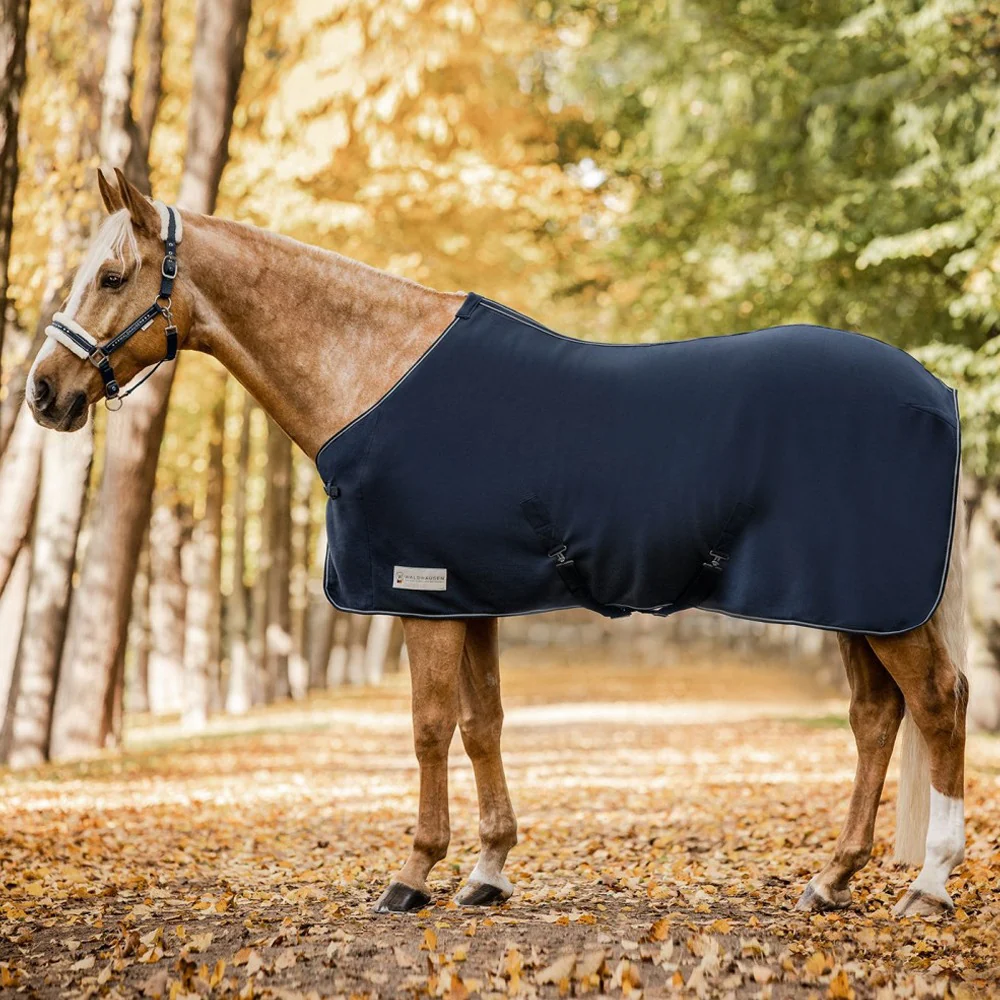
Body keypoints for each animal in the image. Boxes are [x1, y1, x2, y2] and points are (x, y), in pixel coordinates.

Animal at [26, 168, 968, 918]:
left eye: (112, 275)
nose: (43, 393)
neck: (376, 371)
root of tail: (936, 392)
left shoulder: (421, 592)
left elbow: (429, 728)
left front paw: (413, 874)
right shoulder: (469, 595)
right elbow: (484, 725)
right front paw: (488, 871)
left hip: (877, 604)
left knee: (938, 701)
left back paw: (929, 886)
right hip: (854, 605)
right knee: (876, 716)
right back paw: (832, 880)